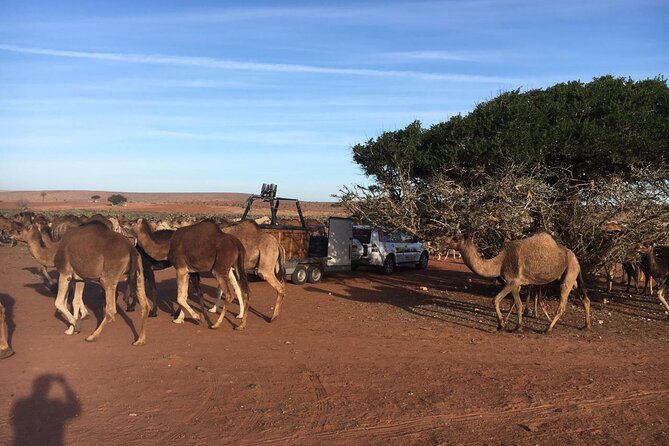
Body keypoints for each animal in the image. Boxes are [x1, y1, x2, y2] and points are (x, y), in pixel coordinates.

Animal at [444, 232, 588, 332]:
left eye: (456, 238)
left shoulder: (512, 281)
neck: (499, 263)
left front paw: (502, 326)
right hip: (572, 275)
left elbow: (496, 300)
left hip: (569, 273)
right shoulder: (516, 284)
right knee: (584, 298)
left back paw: (547, 329)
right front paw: (517, 327)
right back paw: (587, 326)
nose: (445, 240)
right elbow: (517, 304)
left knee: (562, 304)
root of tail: (576, 258)